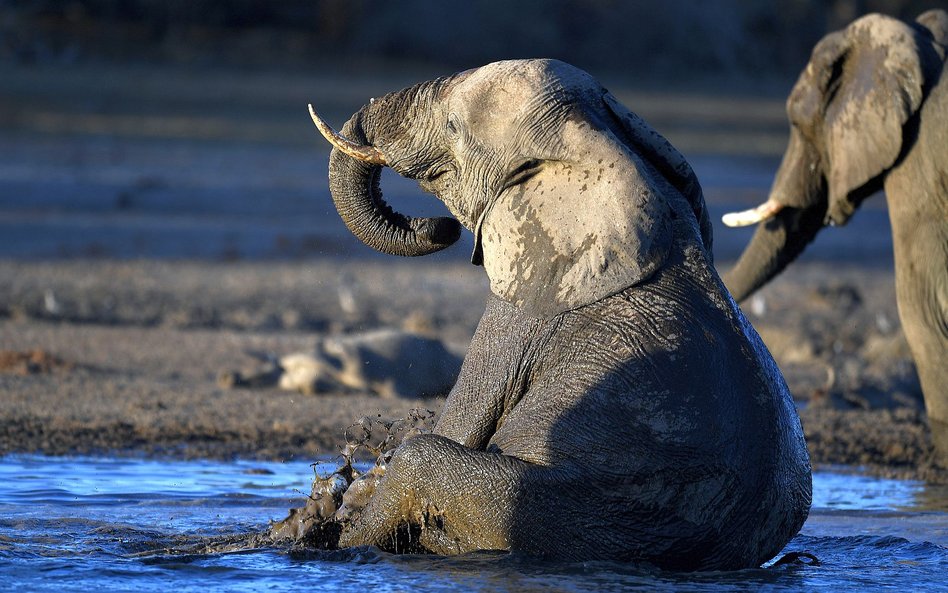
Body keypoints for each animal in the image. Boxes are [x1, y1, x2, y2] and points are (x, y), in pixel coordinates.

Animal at [308, 59, 812, 568]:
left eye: (452, 125)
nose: (441, 228)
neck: (605, 148)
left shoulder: (525, 305)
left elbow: (462, 422)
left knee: (421, 459)